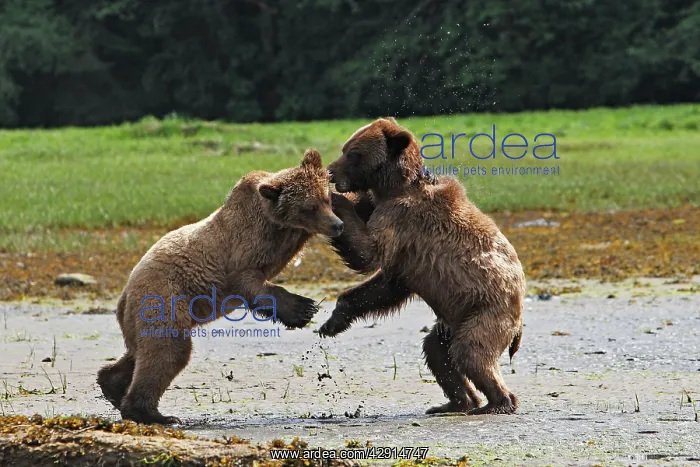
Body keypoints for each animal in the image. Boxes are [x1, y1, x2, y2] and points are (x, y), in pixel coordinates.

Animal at [97, 148, 344, 425]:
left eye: (326, 198)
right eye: (310, 207)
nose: (337, 225)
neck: (275, 224)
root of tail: (126, 291)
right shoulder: (242, 249)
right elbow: (249, 282)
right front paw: (303, 308)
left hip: (138, 315)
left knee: (140, 351)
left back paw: (112, 386)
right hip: (163, 298)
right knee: (168, 350)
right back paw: (154, 414)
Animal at [319, 118, 526, 415]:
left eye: (353, 154)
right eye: (346, 148)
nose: (331, 172)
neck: (394, 187)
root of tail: (519, 321)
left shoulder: (402, 219)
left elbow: (368, 252)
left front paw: (333, 198)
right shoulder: (405, 254)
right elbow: (381, 287)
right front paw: (331, 323)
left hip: (487, 311)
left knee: (471, 352)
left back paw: (495, 403)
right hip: (452, 322)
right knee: (437, 351)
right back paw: (454, 403)